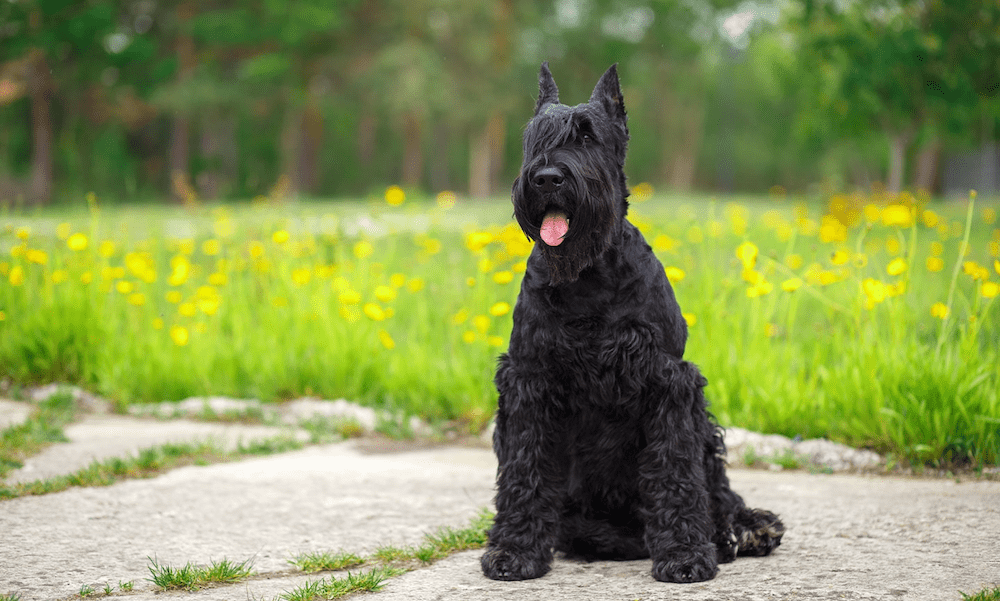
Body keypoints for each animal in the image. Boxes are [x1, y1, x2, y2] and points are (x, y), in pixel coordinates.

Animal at [480, 64, 784, 580]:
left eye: (588, 136)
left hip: (703, 427)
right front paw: (515, 549)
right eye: (536, 136)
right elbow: (525, 468)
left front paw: (685, 553)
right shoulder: (528, 381)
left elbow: (676, 471)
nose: (546, 178)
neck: (587, 276)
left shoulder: (669, 383)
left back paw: (741, 529)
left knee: (717, 488)